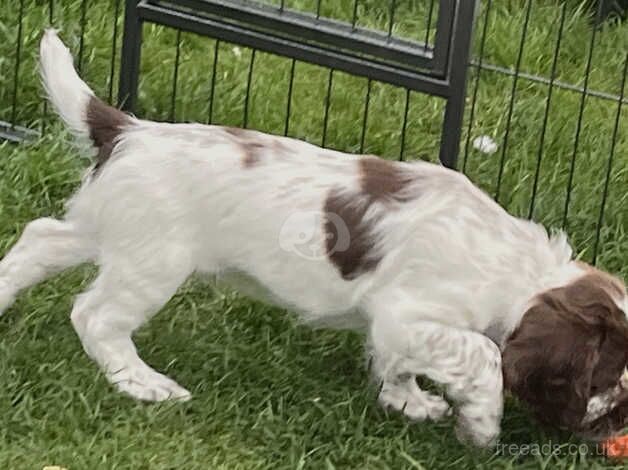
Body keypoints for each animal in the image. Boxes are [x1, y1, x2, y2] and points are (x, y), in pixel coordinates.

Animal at [1, 30, 628, 448]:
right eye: (606, 377)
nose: (617, 424)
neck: (518, 271)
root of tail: (128, 130)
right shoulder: (408, 311)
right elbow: (483, 353)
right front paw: (481, 422)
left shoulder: (395, 325)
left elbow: (399, 361)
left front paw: (408, 400)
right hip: (153, 258)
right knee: (95, 315)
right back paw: (144, 384)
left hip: (108, 226)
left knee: (39, 238)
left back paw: (3, 301)